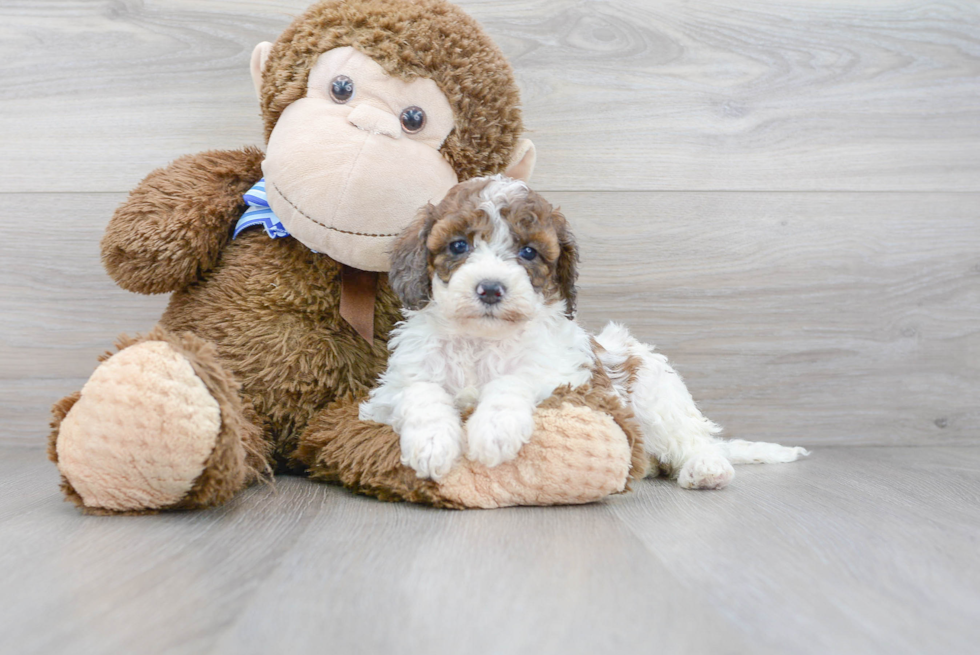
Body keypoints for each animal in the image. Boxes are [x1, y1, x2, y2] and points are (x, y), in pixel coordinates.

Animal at [364, 177, 808, 490]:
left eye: (528, 252)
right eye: (458, 246)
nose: (490, 288)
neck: (480, 340)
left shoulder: (566, 377)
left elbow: (514, 381)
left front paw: (493, 429)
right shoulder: (389, 392)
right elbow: (420, 390)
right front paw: (432, 442)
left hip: (654, 391)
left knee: (693, 438)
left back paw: (708, 468)